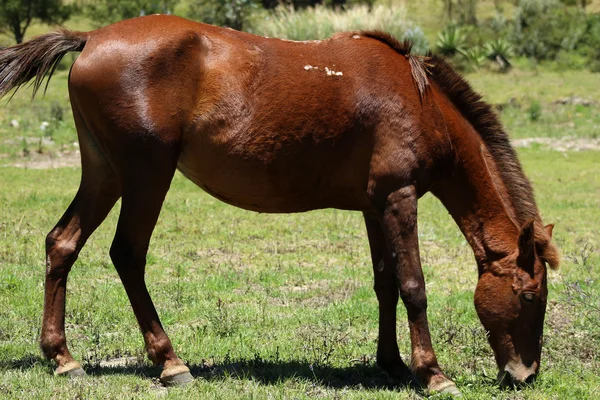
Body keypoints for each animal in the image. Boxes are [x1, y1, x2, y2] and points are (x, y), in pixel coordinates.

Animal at [1, 14, 564, 396]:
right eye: (531, 295)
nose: (525, 374)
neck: (419, 99)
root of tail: (92, 37)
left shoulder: (373, 205)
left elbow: (384, 283)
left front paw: (391, 363)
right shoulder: (398, 198)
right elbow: (413, 286)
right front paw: (432, 373)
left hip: (105, 173)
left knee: (63, 243)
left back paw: (63, 357)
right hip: (145, 176)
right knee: (127, 255)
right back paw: (170, 363)